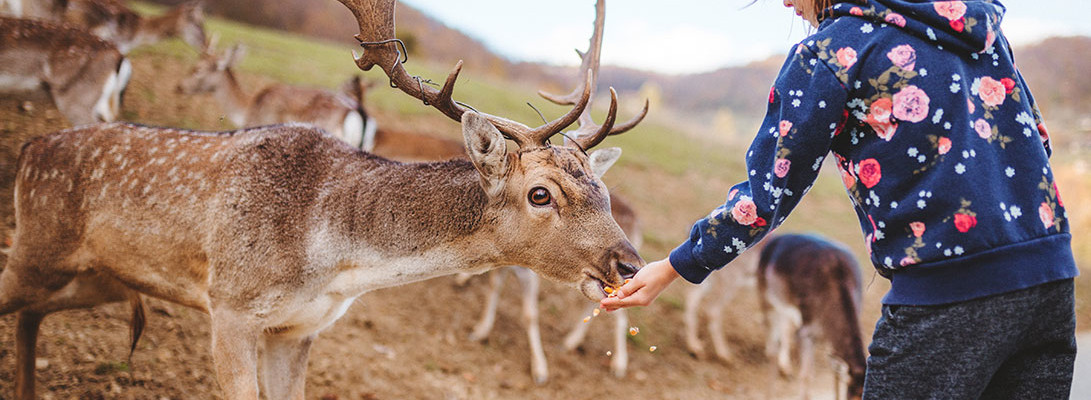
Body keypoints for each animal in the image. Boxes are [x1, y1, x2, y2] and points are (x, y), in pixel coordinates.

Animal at [759, 233, 868, 400]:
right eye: (855, 396)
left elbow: (835, 374)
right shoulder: (806, 331)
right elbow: (806, 375)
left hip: (786, 307)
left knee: (785, 329)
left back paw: (786, 370)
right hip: (764, 296)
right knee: (772, 343)